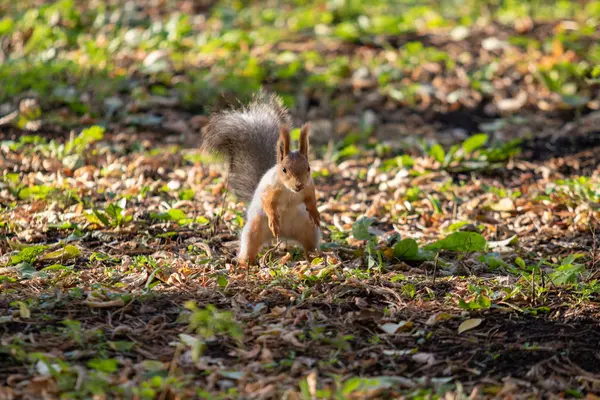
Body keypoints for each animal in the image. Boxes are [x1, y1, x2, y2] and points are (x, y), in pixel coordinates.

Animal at [202, 90, 322, 266]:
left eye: (308, 168)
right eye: (284, 169)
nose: (299, 184)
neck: (290, 191)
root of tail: (283, 235)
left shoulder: (308, 187)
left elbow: (311, 199)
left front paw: (315, 213)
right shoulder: (269, 188)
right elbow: (267, 202)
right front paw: (273, 219)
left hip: (307, 229)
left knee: (309, 244)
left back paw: (315, 257)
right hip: (254, 229)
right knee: (250, 247)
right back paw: (244, 261)